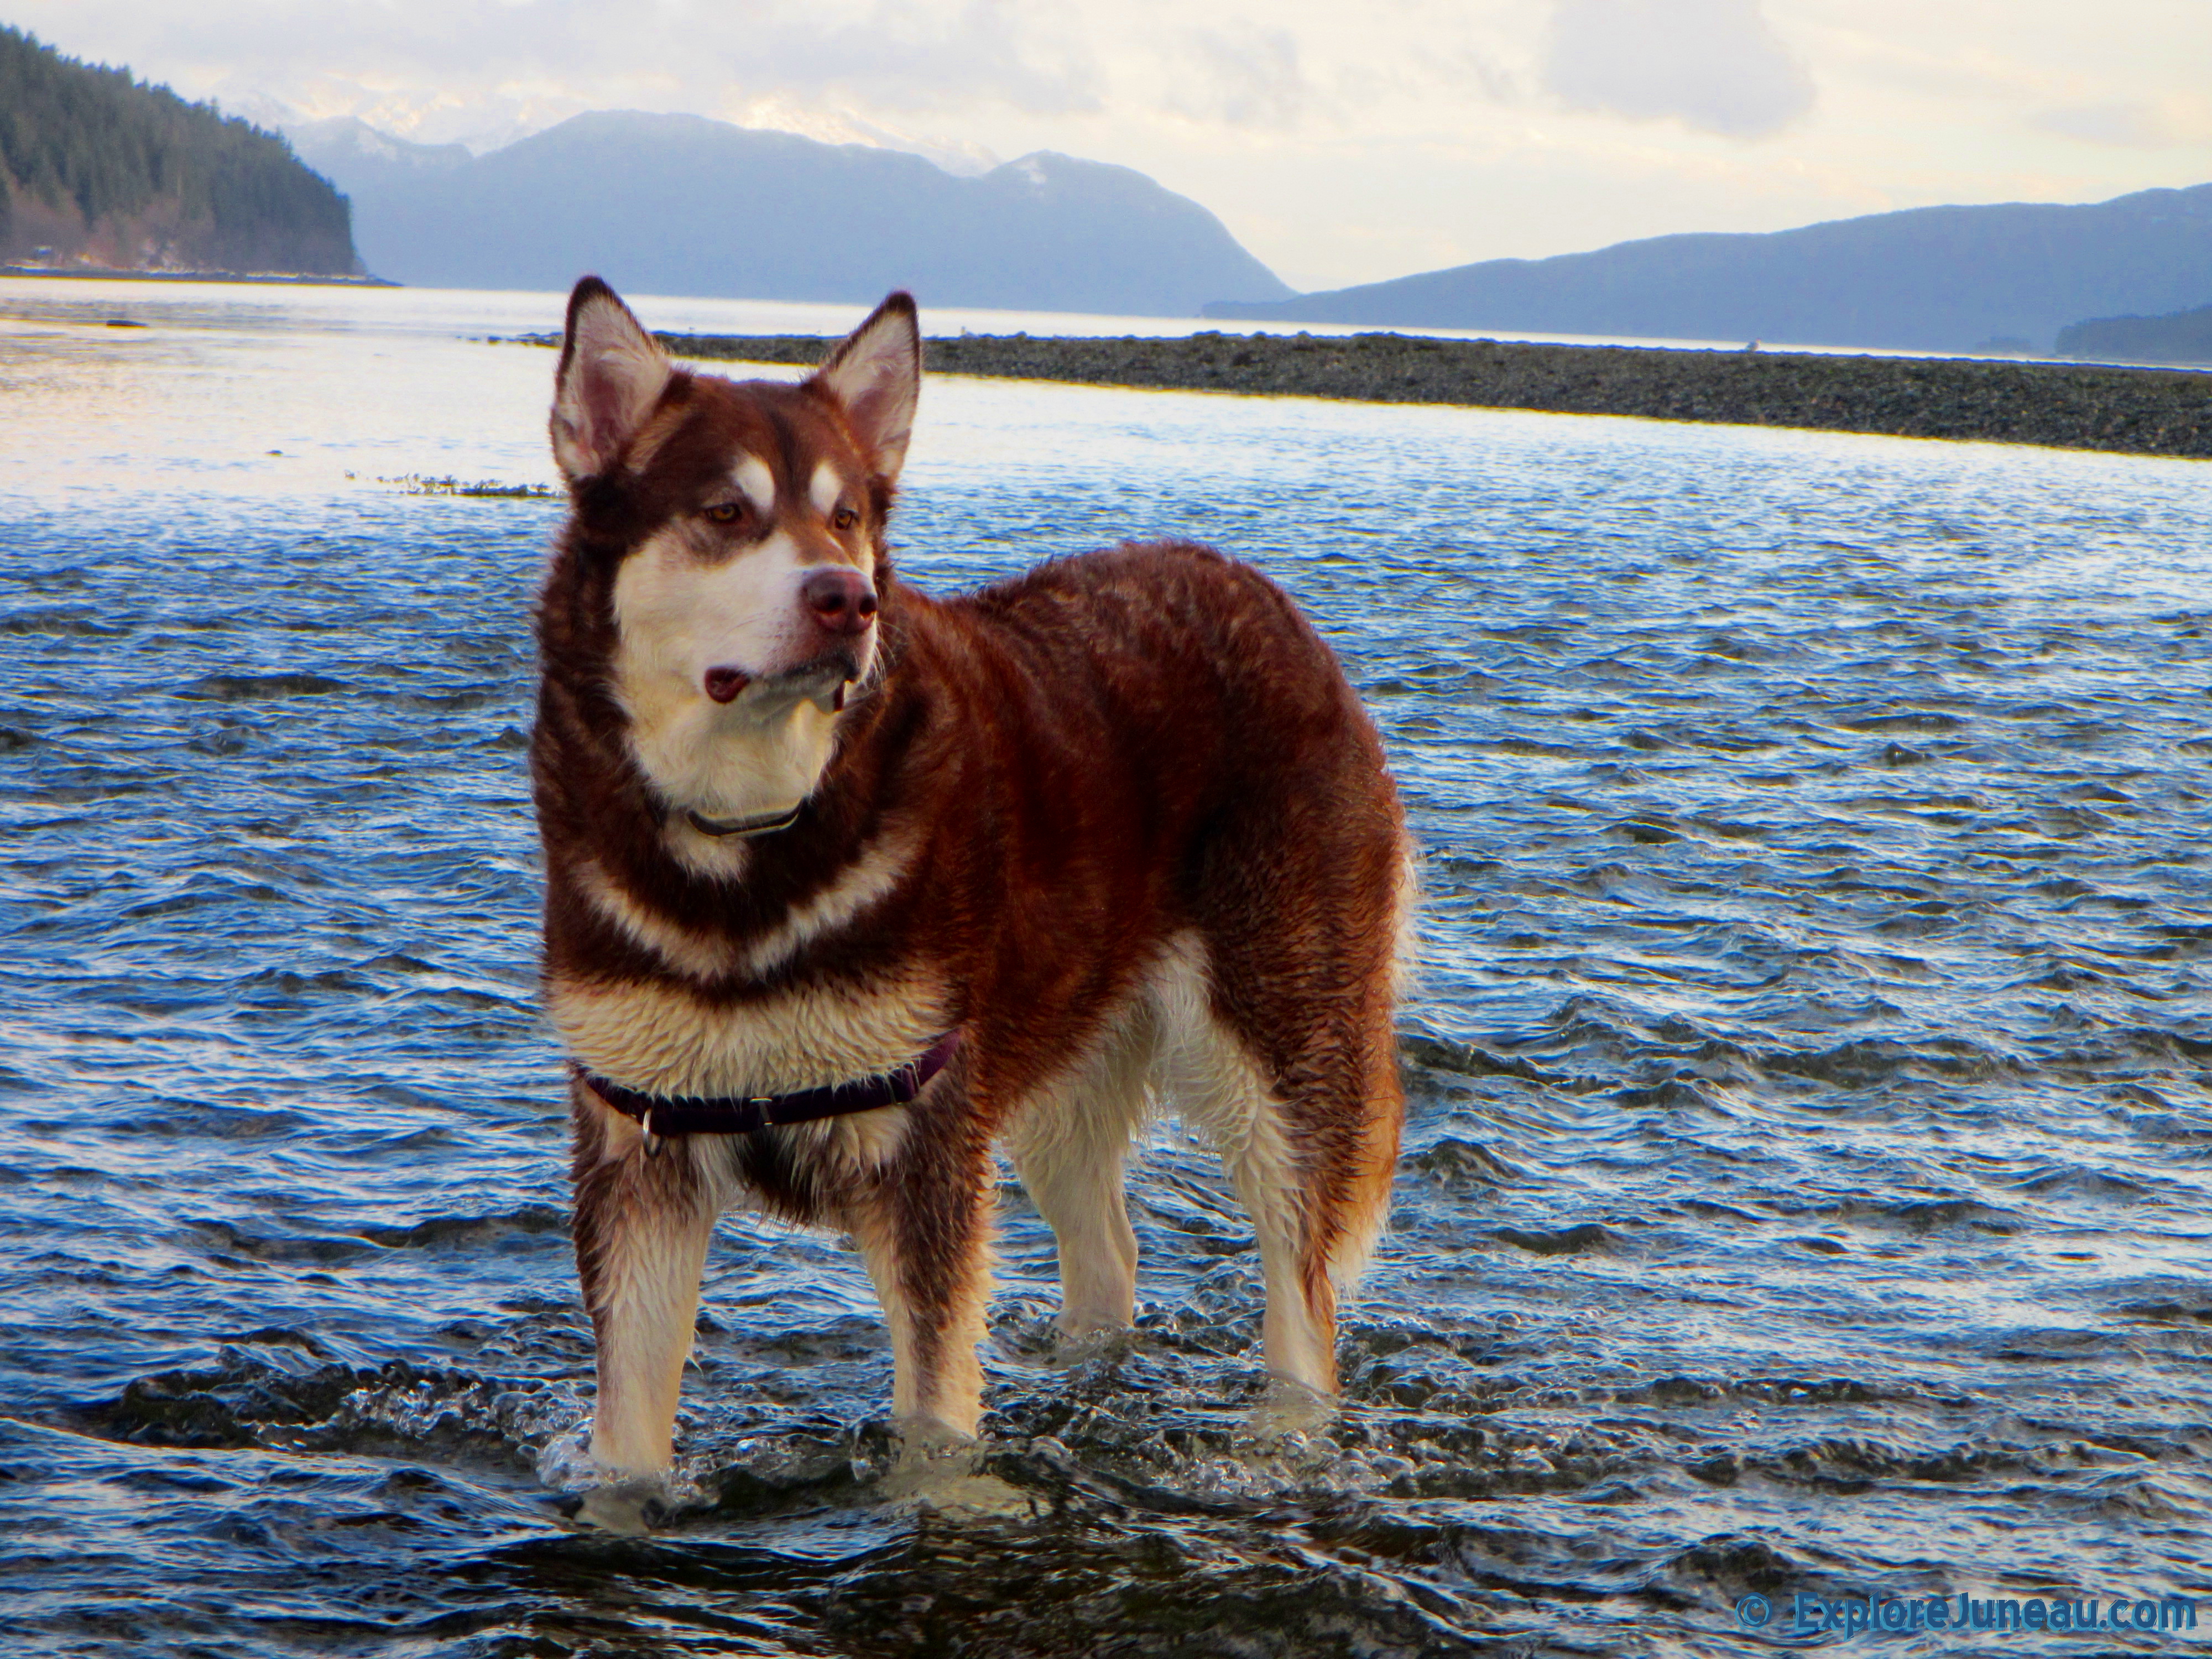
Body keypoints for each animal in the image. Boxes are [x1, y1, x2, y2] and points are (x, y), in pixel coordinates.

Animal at [526, 276, 1407, 1478]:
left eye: (847, 516)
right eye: (724, 514)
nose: (847, 600)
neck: (748, 848)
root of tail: (1262, 596)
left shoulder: (927, 1148)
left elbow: (934, 1428)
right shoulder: (640, 1160)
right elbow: (627, 1451)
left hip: (1276, 1061)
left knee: (1301, 1296)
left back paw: (1282, 1437)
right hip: (1053, 1065)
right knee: (1110, 1253)